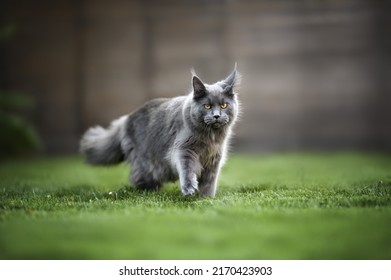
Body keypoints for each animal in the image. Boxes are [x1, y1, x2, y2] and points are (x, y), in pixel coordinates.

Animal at [80, 65, 240, 197]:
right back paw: (148, 191)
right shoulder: (184, 150)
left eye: (224, 105)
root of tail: (125, 119)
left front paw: (206, 198)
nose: (216, 116)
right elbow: (187, 170)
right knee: (138, 177)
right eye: (207, 106)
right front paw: (189, 189)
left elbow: (209, 181)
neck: (211, 138)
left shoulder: (214, 158)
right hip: (146, 162)